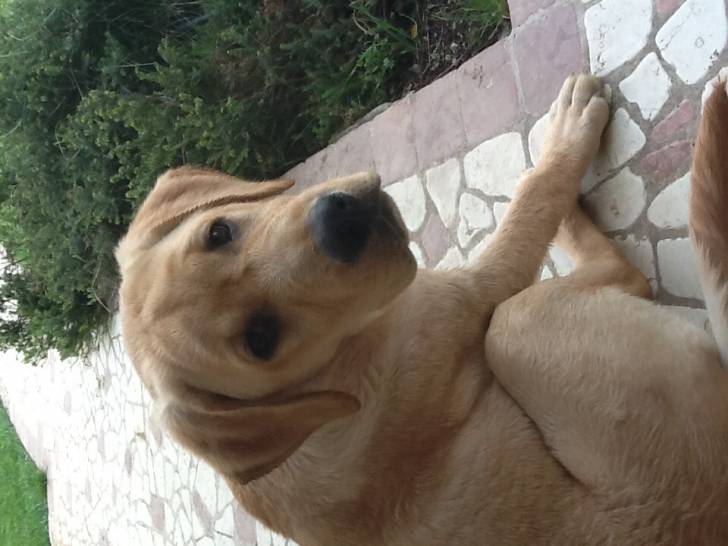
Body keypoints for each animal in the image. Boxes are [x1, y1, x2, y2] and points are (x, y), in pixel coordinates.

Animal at [116, 74, 728, 545]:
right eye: (260, 338)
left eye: (218, 232)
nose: (340, 223)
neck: (333, 377)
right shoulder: (479, 288)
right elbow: (534, 198)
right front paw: (565, 139)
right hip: (518, 324)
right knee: (623, 276)